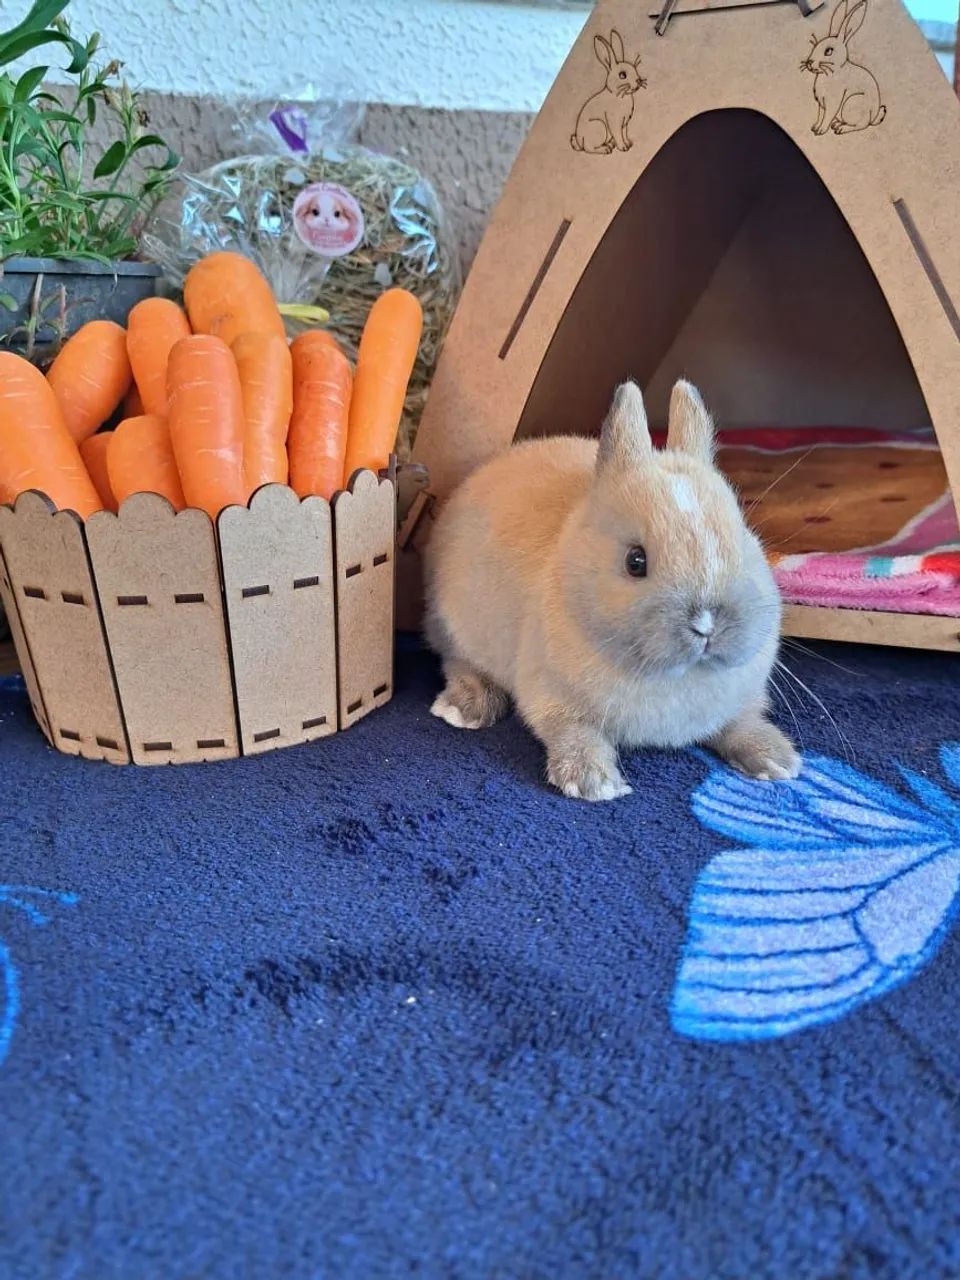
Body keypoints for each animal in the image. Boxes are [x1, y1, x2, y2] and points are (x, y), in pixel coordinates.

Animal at [424, 380, 799, 801]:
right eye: (635, 561)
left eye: (742, 538)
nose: (707, 625)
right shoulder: (552, 698)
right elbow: (572, 733)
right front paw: (593, 782)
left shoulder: (740, 704)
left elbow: (743, 723)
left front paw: (777, 760)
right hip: (451, 625)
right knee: (455, 660)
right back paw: (468, 706)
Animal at [803, 0, 886, 136]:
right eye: (815, 46)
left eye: (828, 51)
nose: (809, 63)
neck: (832, 73)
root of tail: (873, 117)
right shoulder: (821, 104)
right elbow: (820, 116)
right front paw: (815, 128)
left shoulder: (833, 102)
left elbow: (827, 117)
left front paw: (820, 131)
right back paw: (837, 124)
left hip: (851, 104)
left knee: (861, 125)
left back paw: (841, 129)